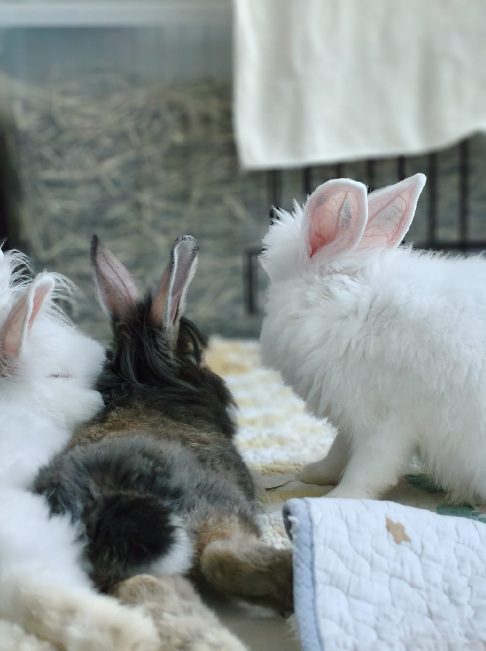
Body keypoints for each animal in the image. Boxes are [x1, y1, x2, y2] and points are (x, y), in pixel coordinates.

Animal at [259, 172, 486, 505]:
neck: (345, 309)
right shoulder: (350, 419)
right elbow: (338, 451)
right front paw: (314, 473)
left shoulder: (385, 423)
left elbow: (368, 467)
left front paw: (337, 499)